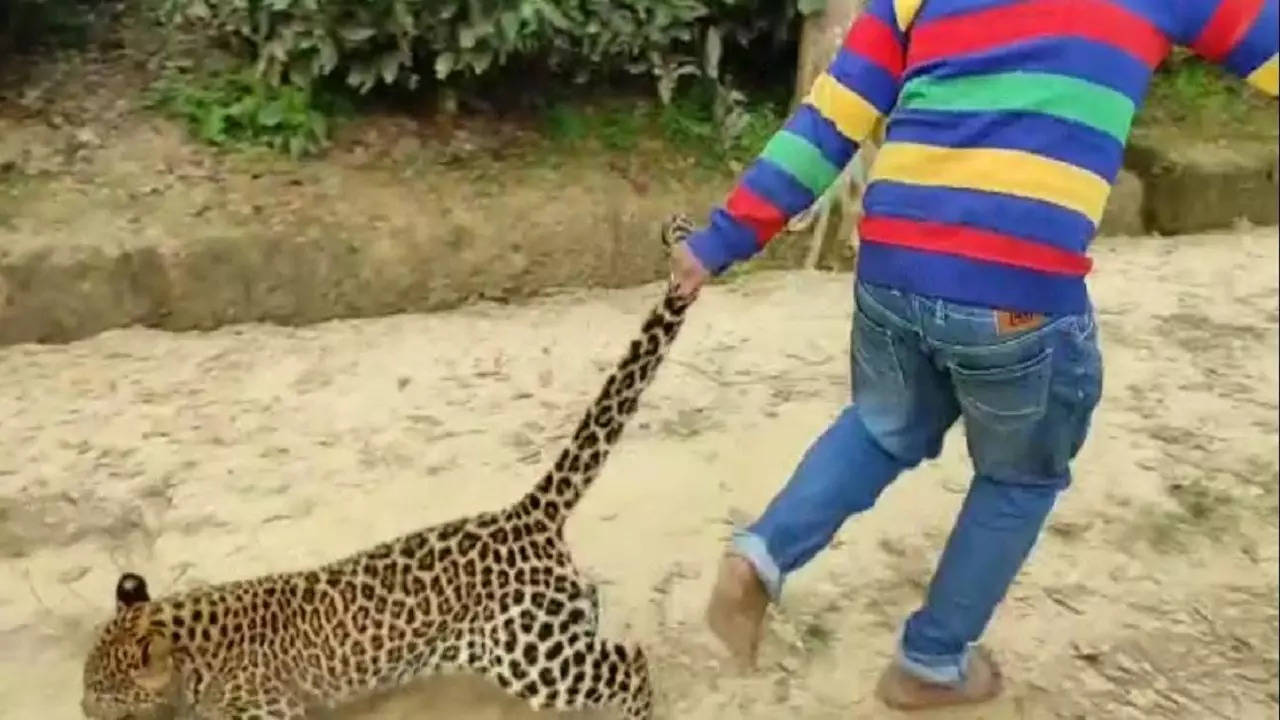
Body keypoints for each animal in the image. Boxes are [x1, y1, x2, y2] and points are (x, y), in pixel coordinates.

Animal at [82, 211, 701, 717]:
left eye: (101, 696)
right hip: (554, 638)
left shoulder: (269, 710)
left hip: (532, 657)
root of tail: (525, 513)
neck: (193, 653)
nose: (83, 713)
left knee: (631, 665)